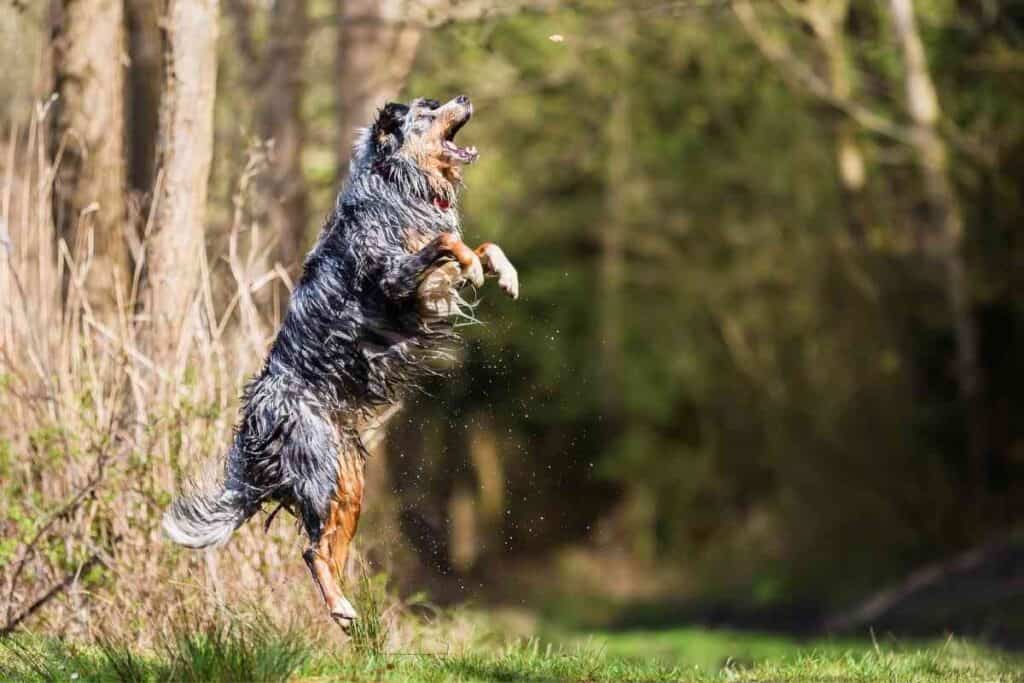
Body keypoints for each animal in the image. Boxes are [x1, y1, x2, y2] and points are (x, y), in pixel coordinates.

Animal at [167, 94, 520, 630]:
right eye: (427, 110)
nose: (462, 97)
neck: (400, 186)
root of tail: (257, 419)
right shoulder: (397, 276)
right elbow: (448, 244)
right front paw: (475, 264)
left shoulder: (430, 286)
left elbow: (481, 245)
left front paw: (504, 270)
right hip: (325, 475)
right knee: (312, 551)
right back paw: (340, 606)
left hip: (348, 484)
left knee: (325, 549)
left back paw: (346, 609)